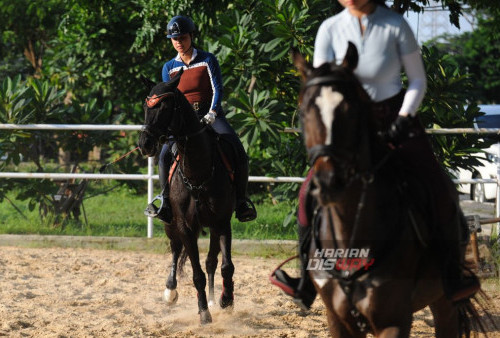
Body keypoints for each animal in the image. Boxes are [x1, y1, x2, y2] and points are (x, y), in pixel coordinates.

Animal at [139, 69, 236, 324]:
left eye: (164, 106)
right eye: (146, 106)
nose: (145, 143)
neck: (198, 172)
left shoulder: (222, 222)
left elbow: (225, 266)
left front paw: (226, 300)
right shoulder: (185, 226)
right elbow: (196, 273)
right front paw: (203, 313)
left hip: (212, 226)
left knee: (211, 261)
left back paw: (213, 299)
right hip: (170, 223)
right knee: (175, 249)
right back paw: (170, 291)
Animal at [290, 43, 488, 336]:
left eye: (352, 111)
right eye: (304, 113)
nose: (329, 181)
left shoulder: (393, 321)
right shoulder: (337, 319)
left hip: (444, 301)